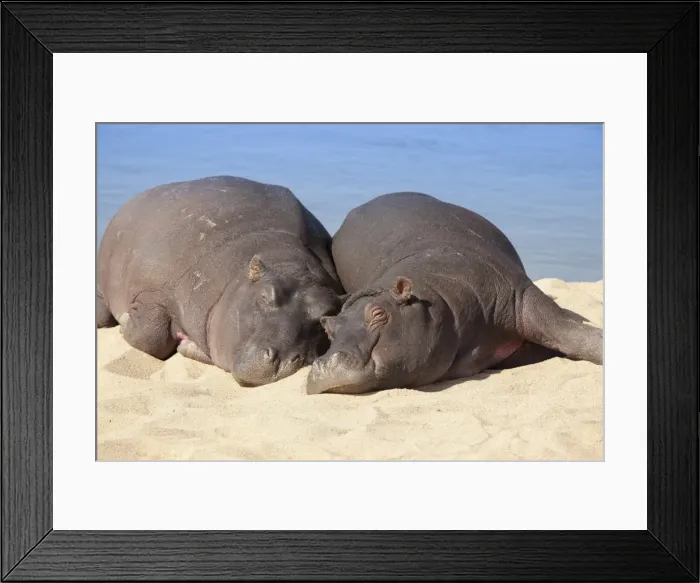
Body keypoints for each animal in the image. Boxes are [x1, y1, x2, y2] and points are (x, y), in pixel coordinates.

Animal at [97, 175, 345, 386]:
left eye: (322, 319)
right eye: (265, 295)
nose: (284, 360)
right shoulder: (153, 291)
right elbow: (151, 336)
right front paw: (125, 324)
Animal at [306, 192, 603, 395]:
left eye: (378, 313)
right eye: (328, 327)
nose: (325, 363)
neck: (435, 295)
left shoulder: (520, 293)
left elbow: (571, 333)